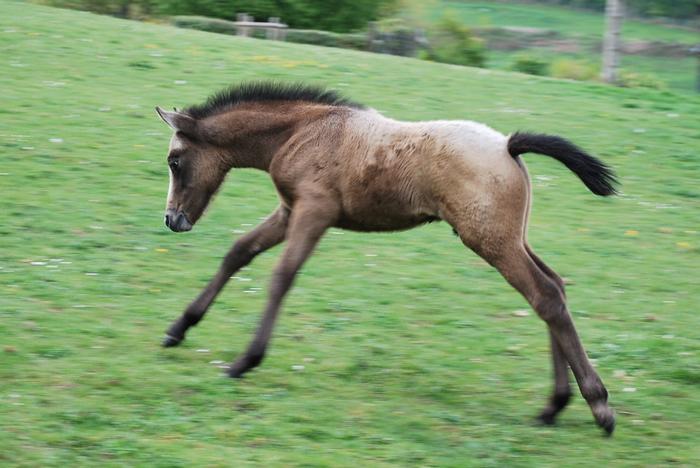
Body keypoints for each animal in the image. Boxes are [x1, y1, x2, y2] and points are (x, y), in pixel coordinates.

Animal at [156, 81, 616, 436]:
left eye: (175, 161)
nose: (172, 219)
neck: (301, 131)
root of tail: (508, 145)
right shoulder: (289, 211)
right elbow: (238, 253)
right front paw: (178, 329)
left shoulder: (314, 211)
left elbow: (282, 275)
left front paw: (244, 362)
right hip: (510, 238)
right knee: (555, 287)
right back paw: (554, 406)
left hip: (491, 240)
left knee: (545, 296)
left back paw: (598, 407)